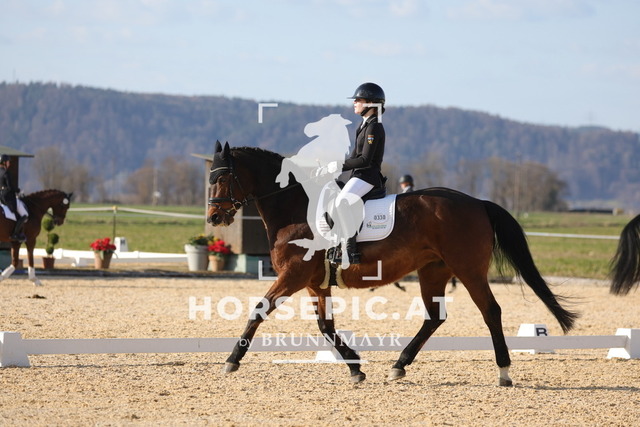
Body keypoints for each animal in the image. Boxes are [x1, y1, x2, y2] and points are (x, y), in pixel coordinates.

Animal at [207, 141, 578, 386]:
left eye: (222, 179)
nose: (213, 217)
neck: (295, 208)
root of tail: (478, 202)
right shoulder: (315, 282)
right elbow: (326, 327)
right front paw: (356, 368)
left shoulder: (293, 275)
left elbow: (258, 310)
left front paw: (231, 361)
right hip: (434, 270)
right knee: (434, 317)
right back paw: (399, 365)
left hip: (468, 269)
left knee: (490, 311)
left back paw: (503, 372)